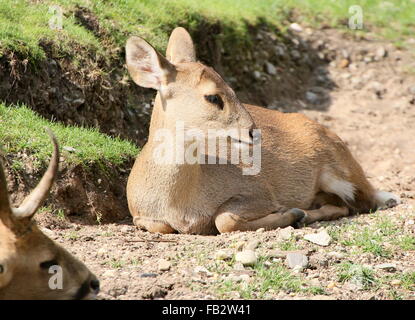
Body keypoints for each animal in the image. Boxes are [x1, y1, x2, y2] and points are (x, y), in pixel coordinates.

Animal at [125, 26, 402, 235]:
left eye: (232, 88)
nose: (253, 132)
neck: (178, 203)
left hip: (342, 168)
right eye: (213, 97)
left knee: (364, 198)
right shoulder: (140, 214)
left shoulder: (259, 192)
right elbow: (160, 226)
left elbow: (224, 219)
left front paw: (290, 213)